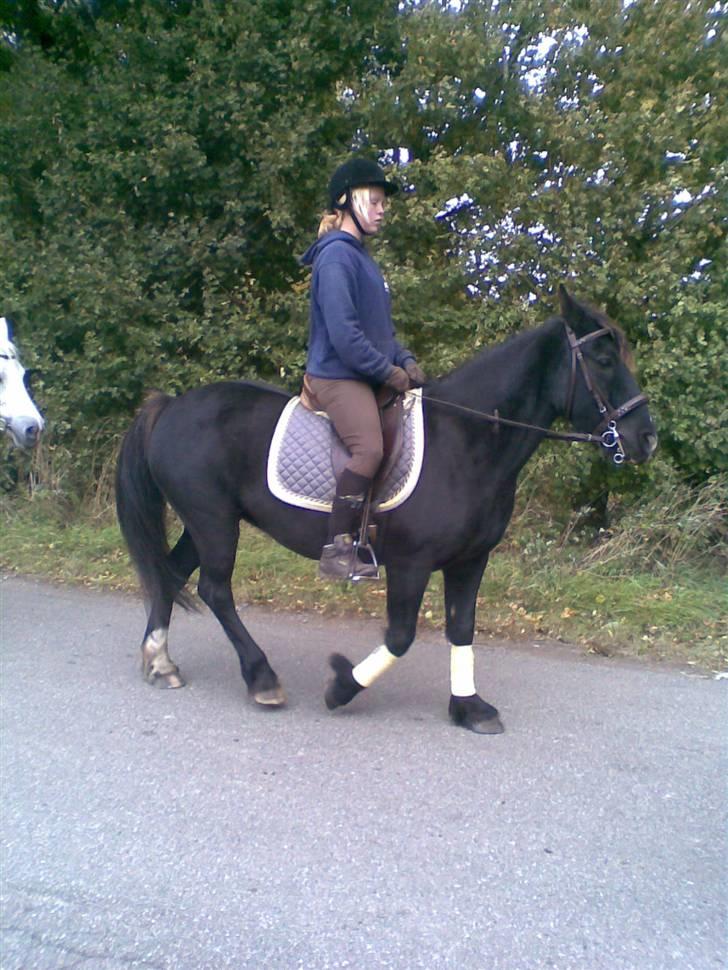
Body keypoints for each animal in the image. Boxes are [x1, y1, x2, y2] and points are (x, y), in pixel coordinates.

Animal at [115, 286, 657, 733]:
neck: (466, 442)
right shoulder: (410, 563)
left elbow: (462, 628)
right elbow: (400, 636)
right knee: (214, 589)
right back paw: (261, 678)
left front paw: (469, 707)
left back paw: (161, 662)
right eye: (603, 359)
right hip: (213, 521)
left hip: (202, 521)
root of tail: (172, 405)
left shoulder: (470, 560)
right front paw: (341, 686)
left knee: (171, 574)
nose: (646, 439)